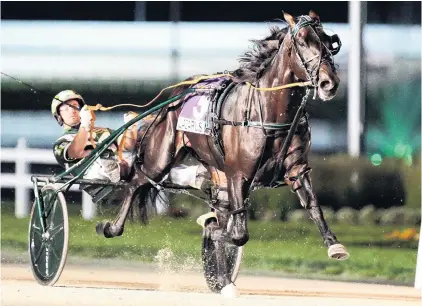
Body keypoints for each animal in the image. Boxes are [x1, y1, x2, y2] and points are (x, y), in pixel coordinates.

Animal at [97, 10, 348, 296]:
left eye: (328, 41)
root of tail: (179, 91)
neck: (270, 112)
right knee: (137, 183)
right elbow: (237, 233)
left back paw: (224, 279)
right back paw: (111, 227)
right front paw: (215, 231)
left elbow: (313, 205)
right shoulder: (239, 174)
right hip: (160, 158)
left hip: (217, 171)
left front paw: (334, 244)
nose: (329, 83)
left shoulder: (296, 170)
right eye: (303, 41)